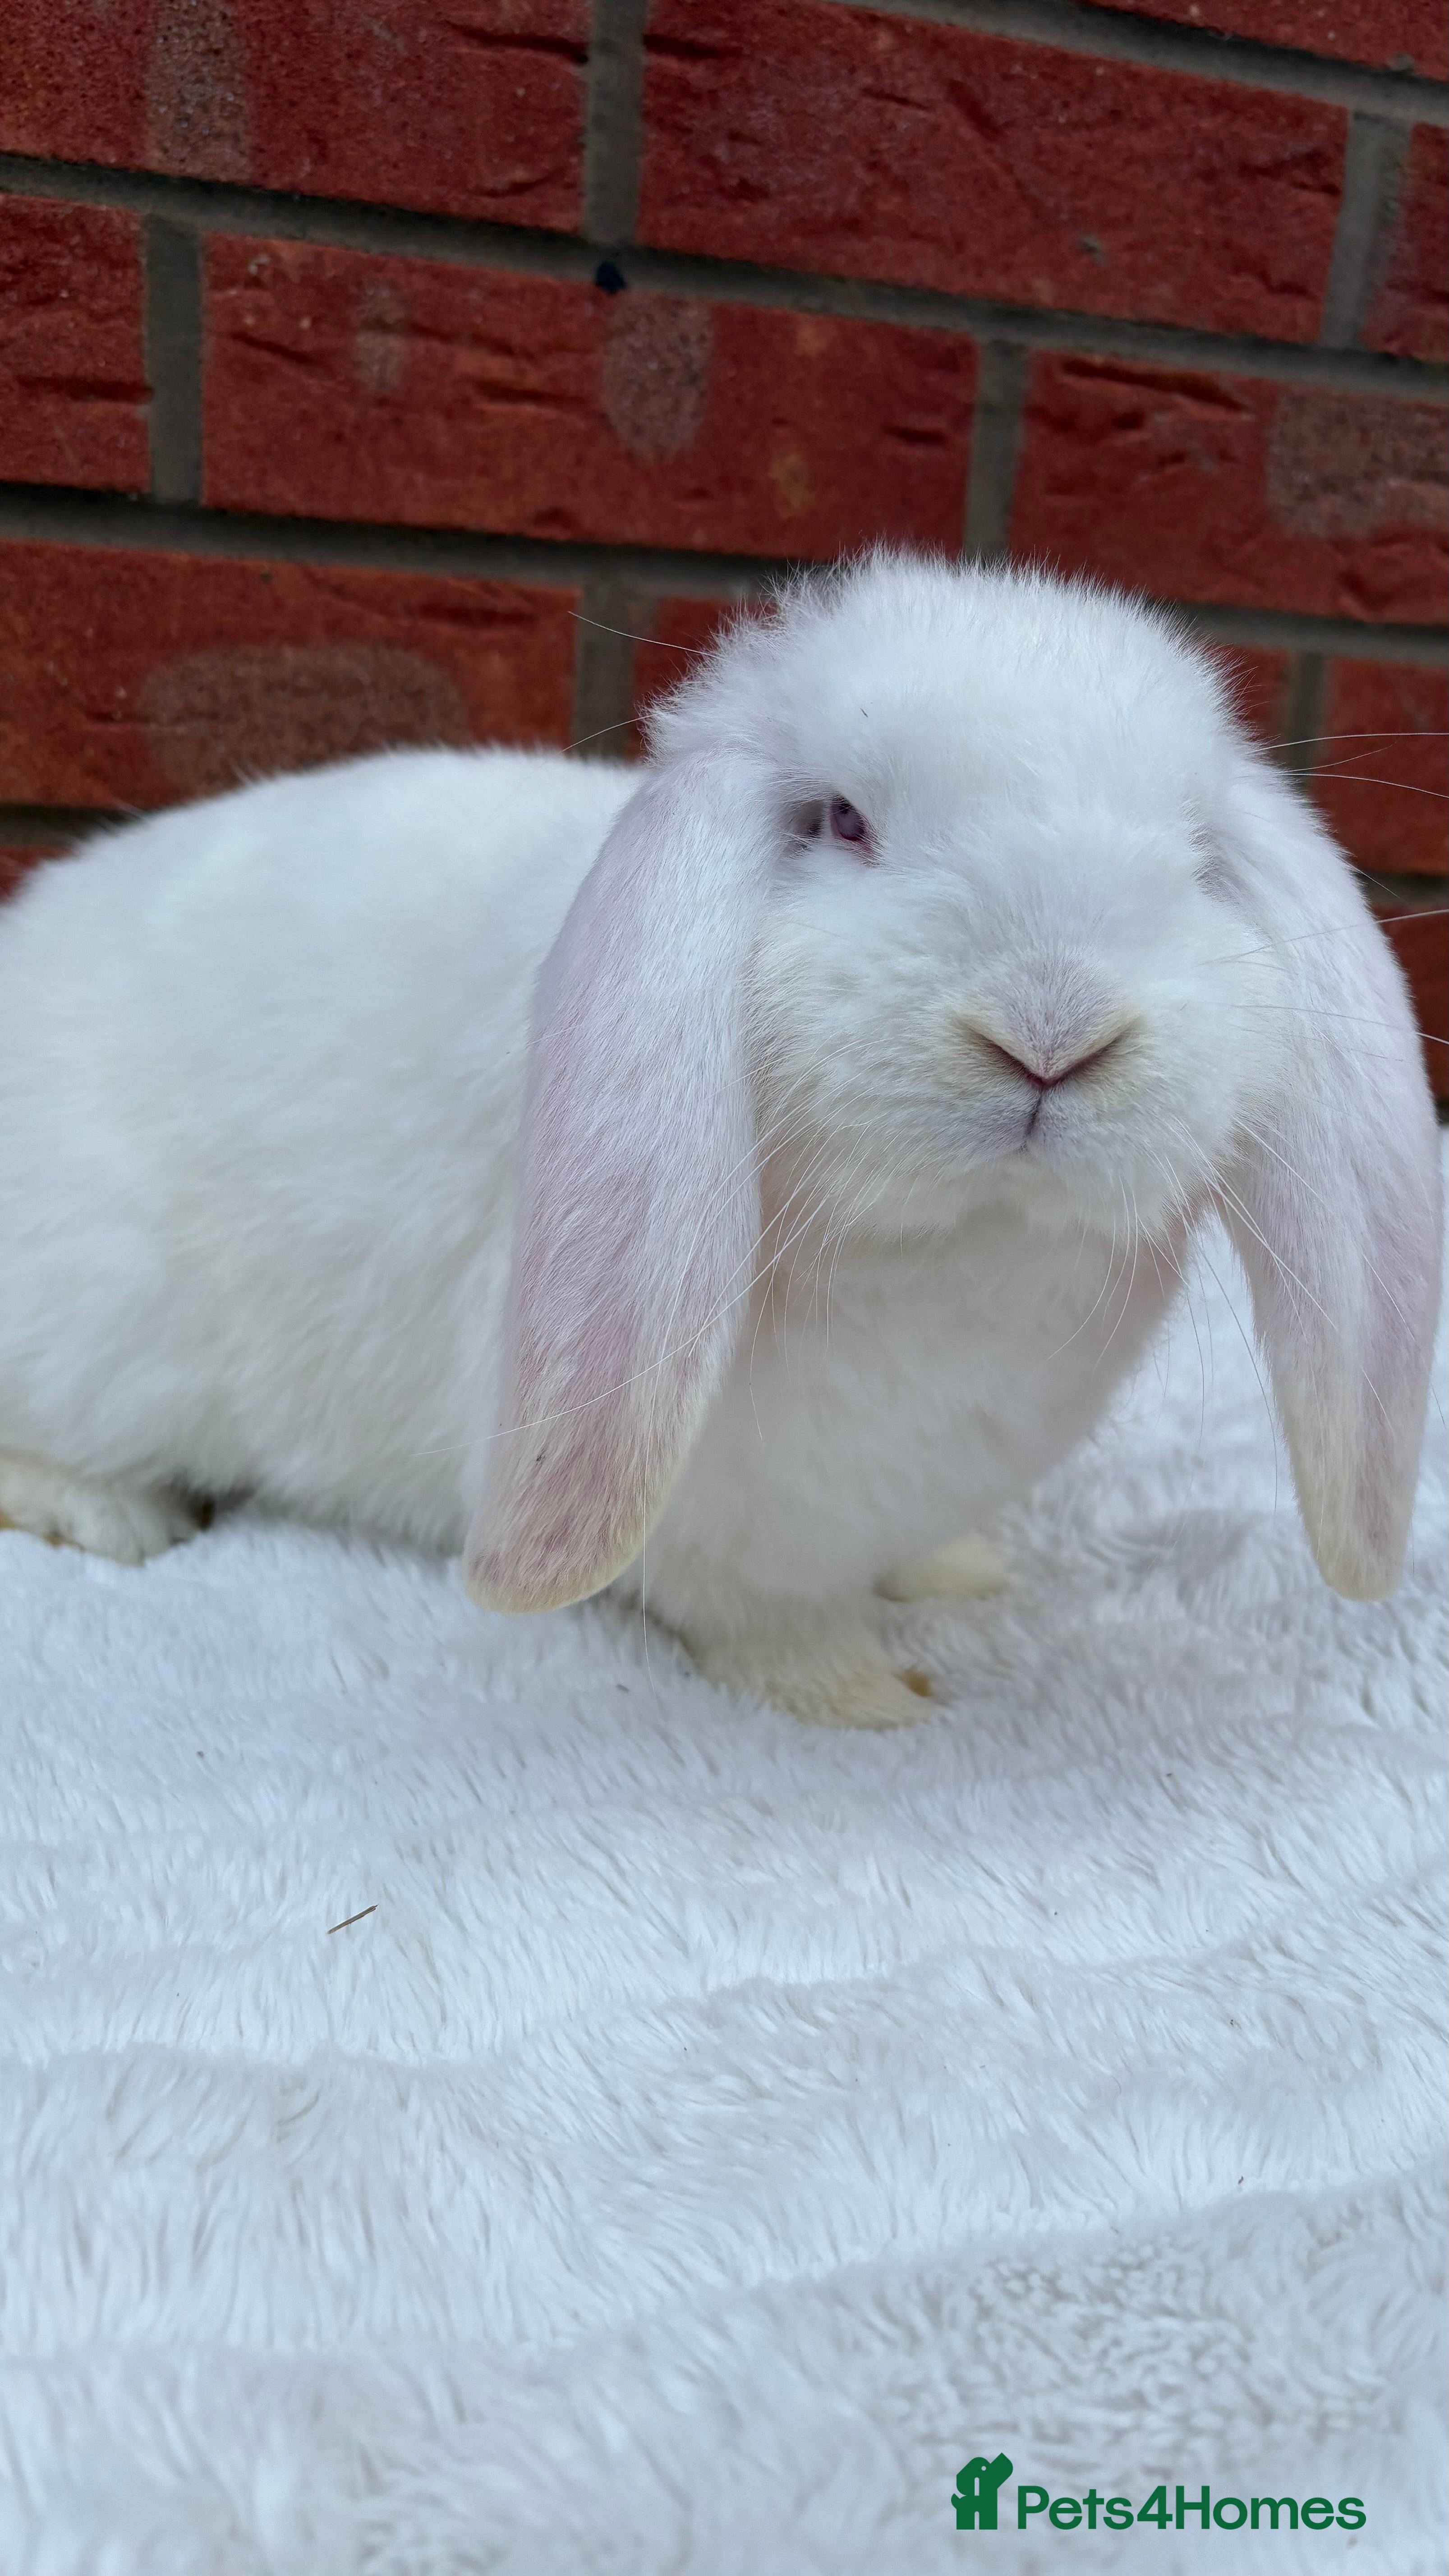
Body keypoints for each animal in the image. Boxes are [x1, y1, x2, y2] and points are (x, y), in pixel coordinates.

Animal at [0, 551, 1440, 1726]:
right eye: (842, 821)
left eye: (1198, 860)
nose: (1051, 1030)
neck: (961, 1251)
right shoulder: (732, 1525)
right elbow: (771, 1626)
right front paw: (868, 1701)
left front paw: (957, 1575)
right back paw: (106, 1515)